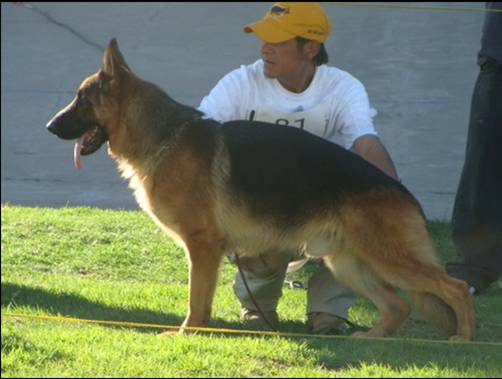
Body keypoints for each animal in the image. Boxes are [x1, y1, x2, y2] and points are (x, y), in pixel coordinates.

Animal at [46, 39, 474, 342]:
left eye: (81, 99)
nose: (49, 126)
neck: (163, 138)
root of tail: (404, 193)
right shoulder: (208, 250)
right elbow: (201, 298)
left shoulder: (202, 246)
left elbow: (195, 299)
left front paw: (186, 333)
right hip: (349, 263)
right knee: (398, 307)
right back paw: (372, 337)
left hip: (386, 258)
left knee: (454, 287)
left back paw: (464, 337)